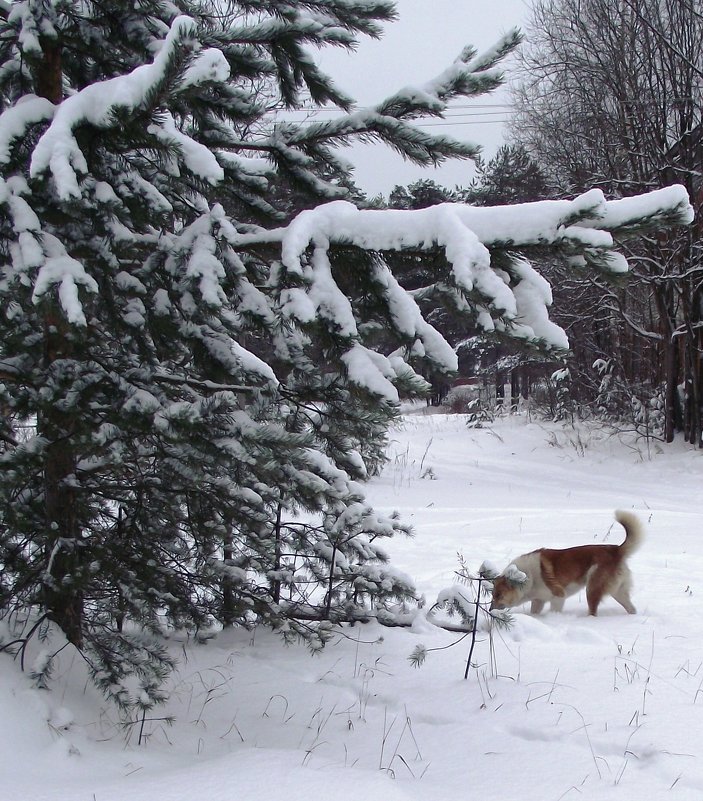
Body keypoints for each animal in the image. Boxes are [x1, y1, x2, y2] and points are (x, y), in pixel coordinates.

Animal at [490, 510, 644, 616]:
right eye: (493, 595)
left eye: (499, 595)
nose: (490, 610)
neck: (528, 576)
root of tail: (615, 549)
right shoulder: (538, 600)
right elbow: (534, 612)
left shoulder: (558, 597)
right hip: (618, 592)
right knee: (631, 608)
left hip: (592, 588)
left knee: (593, 611)